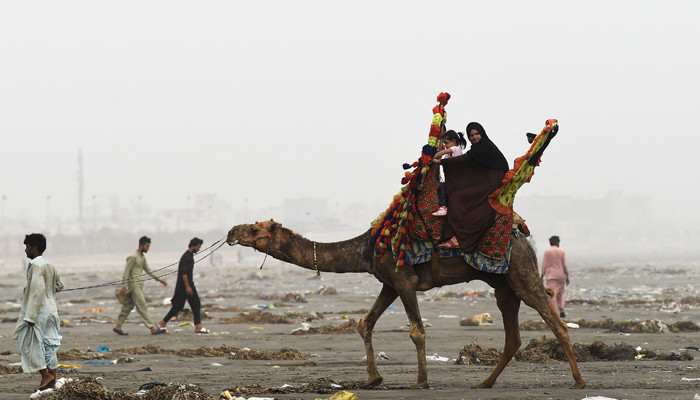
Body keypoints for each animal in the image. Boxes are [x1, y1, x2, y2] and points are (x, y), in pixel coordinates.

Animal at [226, 217, 584, 390]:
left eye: (255, 228)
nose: (230, 232)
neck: (366, 248)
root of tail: (523, 237)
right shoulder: (388, 282)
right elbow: (365, 323)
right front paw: (373, 378)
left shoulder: (404, 281)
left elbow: (417, 331)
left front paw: (421, 381)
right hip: (503, 287)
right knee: (513, 337)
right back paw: (485, 382)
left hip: (521, 274)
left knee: (556, 322)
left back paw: (578, 380)